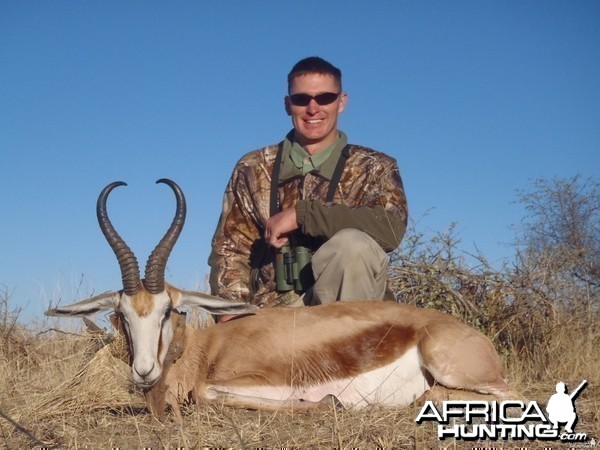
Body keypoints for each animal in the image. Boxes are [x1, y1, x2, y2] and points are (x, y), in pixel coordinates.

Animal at [45, 178, 520, 418]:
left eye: (169, 311)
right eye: (121, 315)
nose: (143, 371)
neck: (205, 351)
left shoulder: (245, 381)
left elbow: (208, 393)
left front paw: (326, 401)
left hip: (456, 370)